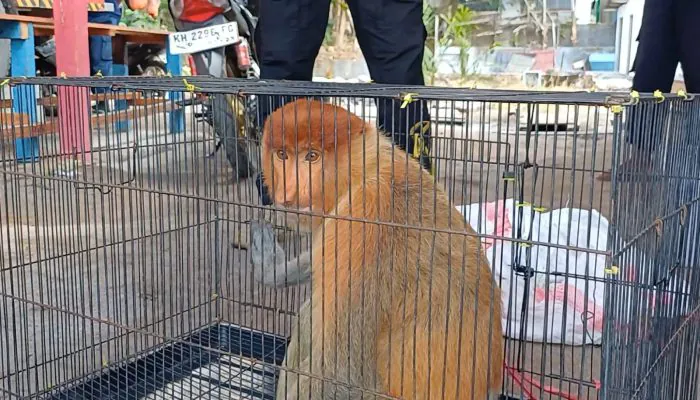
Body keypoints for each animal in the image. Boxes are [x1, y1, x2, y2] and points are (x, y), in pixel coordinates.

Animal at [249, 98, 506, 398]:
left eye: (311, 157)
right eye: (282, 155)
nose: (288, 193)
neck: (364, 171)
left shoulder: (365, 217)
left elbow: (339, 372)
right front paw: (271, 268)